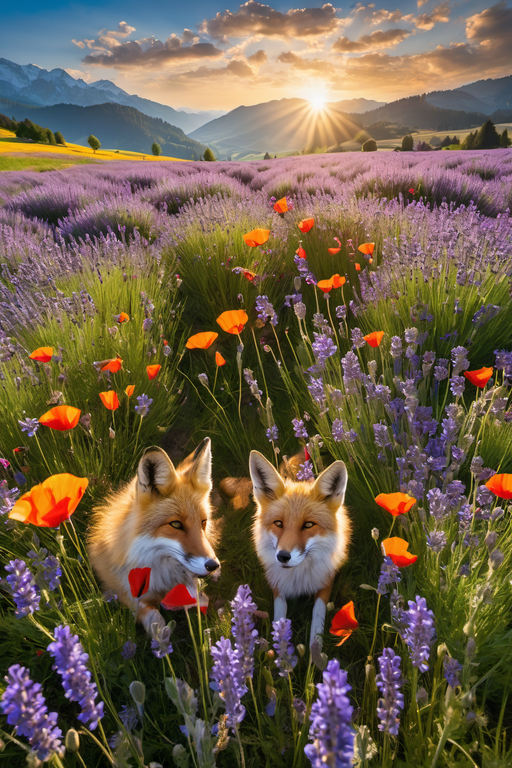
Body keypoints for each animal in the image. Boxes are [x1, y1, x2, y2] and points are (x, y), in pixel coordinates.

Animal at [88, 437, 220, 633]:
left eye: (203, 522)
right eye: (176, 524)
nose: (212, 565)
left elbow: (198, 598)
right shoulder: (128, 593)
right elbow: (154, 620)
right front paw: (162, 636)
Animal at [249, 450, 351, 648]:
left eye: (308, 525)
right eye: (278, 523)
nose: (283, 556)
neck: (298, 576)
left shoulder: (326, 581)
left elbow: (317, 616)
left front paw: (315, 652)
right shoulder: (277, 583)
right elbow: (279, 616)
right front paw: (279, 649)